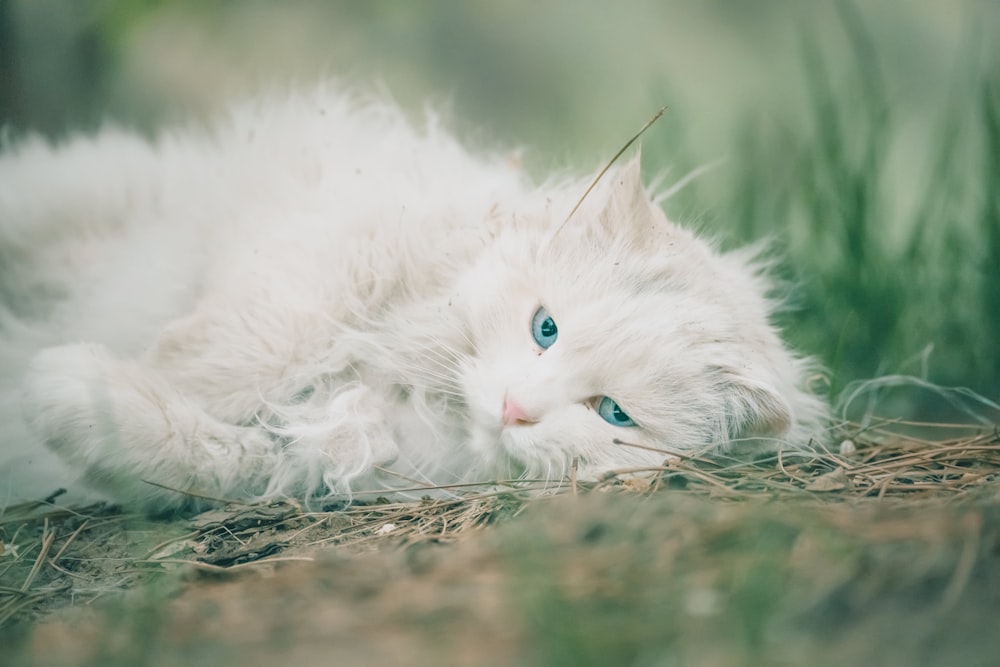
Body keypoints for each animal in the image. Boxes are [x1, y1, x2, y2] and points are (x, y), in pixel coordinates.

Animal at [0, 85, 828, 512]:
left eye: (614, 415)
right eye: (546, 328)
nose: (515, 408)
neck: (422, 390)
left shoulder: (318, 460)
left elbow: (201, 448)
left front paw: (59, 389)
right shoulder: (328, 257)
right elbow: (226, 357)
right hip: (81, 192)